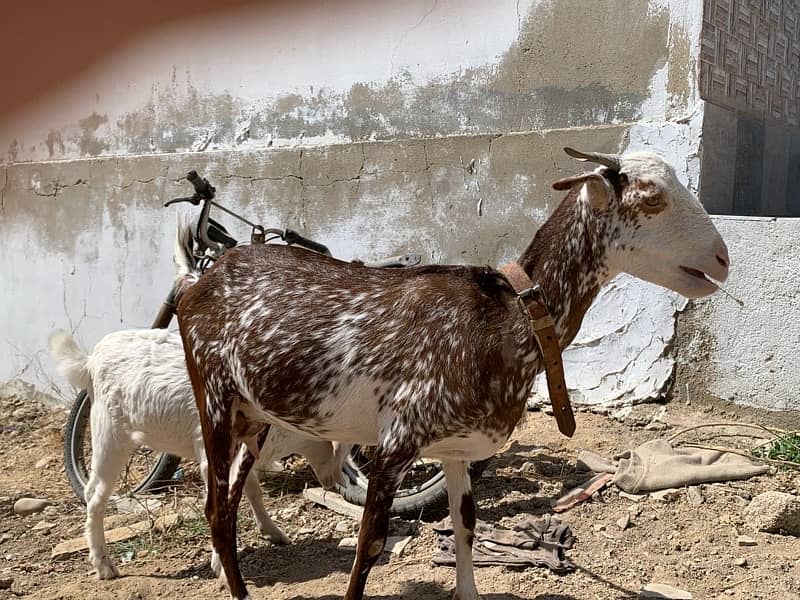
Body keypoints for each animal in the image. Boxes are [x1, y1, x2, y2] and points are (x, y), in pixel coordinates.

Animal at [172, 148, 728, 596]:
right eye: (652, 198)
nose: (723, 260)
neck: (509, 315)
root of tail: (199, 280)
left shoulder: (458, 449)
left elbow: (465, 527)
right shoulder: (396, 442)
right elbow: (369, 547)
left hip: (257, 415)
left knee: (228, 496)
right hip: (214, 397)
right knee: (216, 512)